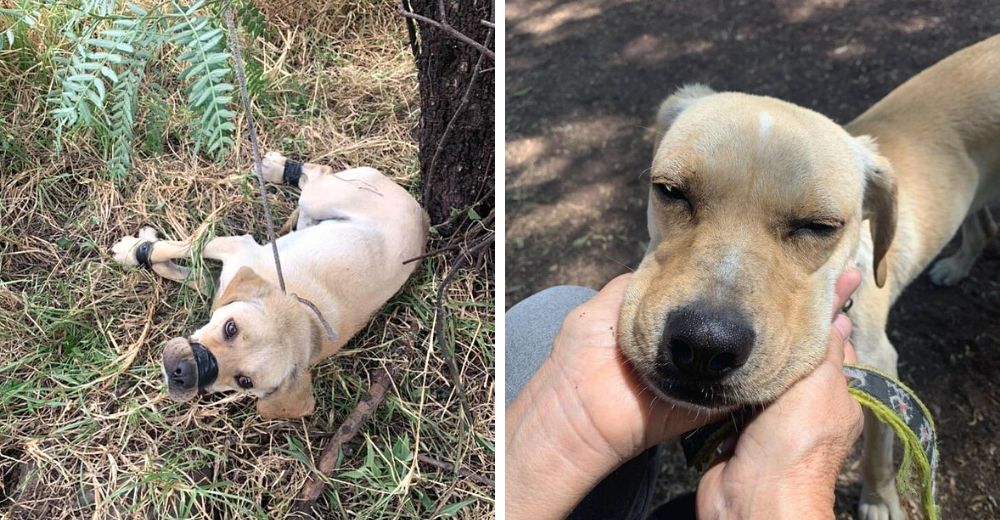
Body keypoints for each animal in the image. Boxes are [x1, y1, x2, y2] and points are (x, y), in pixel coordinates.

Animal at [112, 152, 426, 420]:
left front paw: (138, 251)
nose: (183, 373)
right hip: (321, 200)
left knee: (316, 176)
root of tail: (422, 214)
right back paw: (278, 169)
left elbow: (178, 261)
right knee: (318, 172)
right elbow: (179, 250)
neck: (304, 318)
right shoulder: (230, 248)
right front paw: (137, 251)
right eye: (230, 328)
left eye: (244, 381)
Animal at [620, 34, 996, 516]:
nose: (703, 347)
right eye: (670, 190)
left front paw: (879, 501)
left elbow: (878, 450)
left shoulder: (881, 363)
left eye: (819, 226)